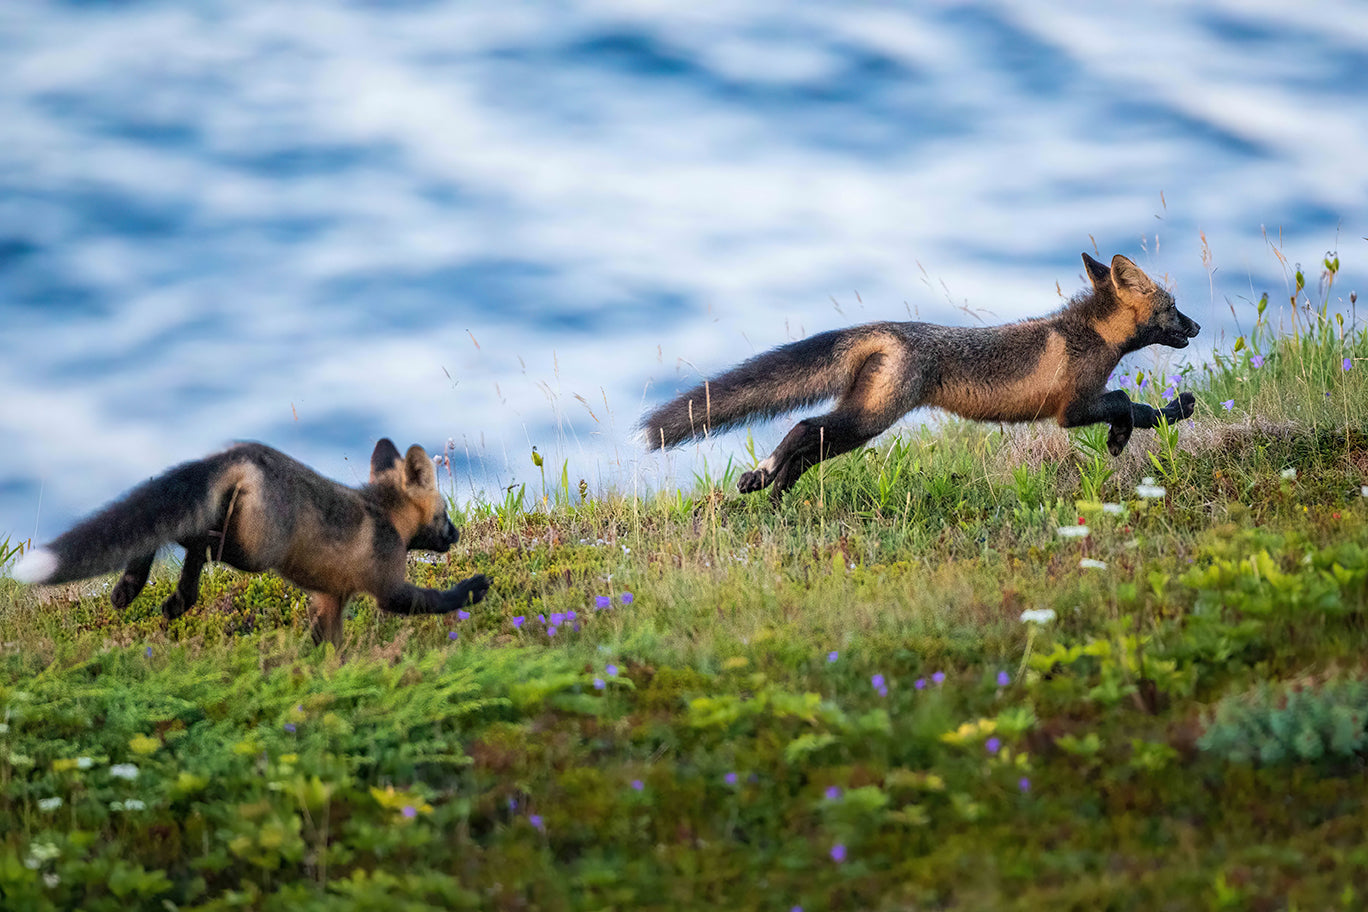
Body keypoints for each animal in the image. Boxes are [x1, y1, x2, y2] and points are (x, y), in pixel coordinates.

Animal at [12, 437, 492, 645]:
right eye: (445, 514)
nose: (456, 535)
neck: (387, 516)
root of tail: (240, 451)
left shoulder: (329, 598)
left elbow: (326, 644)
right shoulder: (387, 586)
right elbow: (433, 599)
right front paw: (472, 589)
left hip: (239, 535)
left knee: (183, 532)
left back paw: (144, 591)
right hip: (253, 553)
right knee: (193, 537)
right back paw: (167, 594)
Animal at [640, 252, 1198, 503]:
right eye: (1173, 308)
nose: (1196, 326)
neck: (1090, 335)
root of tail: (885, 329)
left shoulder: (1080, 404)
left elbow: (1145, 411)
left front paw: (1173, 412)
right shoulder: (1072, 408)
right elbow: (1126, 401)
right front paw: (1122, 436)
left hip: (859, 422)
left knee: (808, 445)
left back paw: (770, 485)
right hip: (869, 420)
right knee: (801, 430)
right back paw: (768, 480)